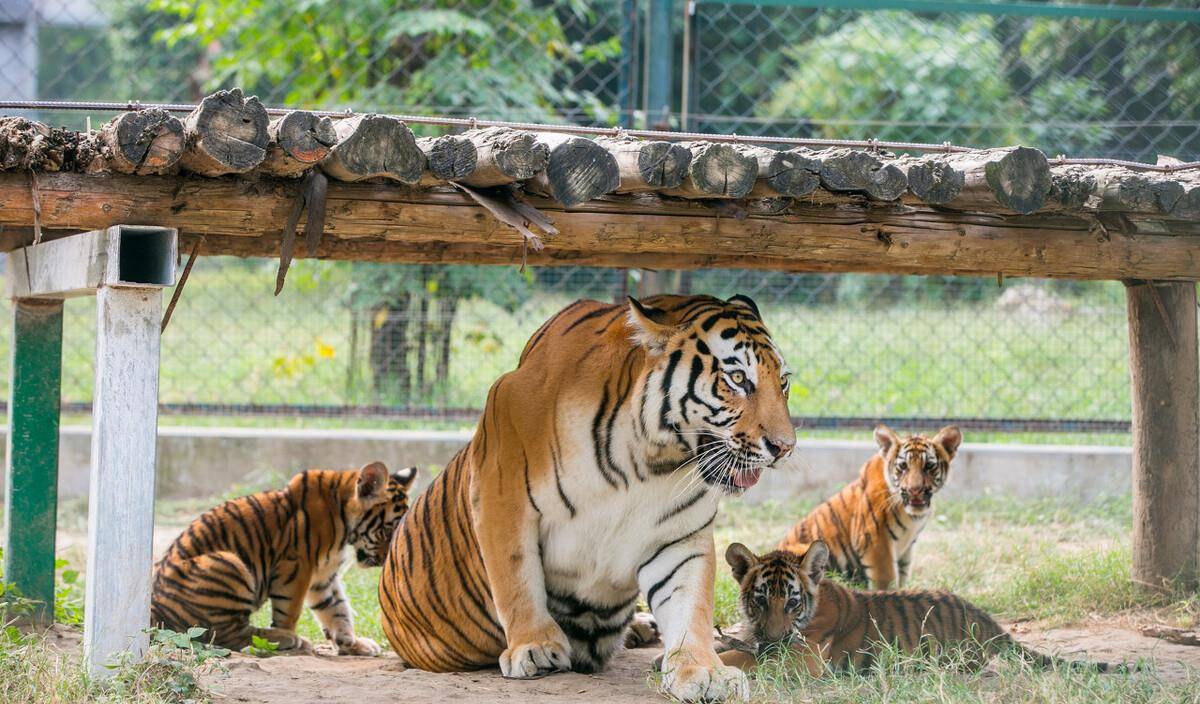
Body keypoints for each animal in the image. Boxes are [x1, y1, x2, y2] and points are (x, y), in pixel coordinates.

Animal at [381, 295, 796, 700]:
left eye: (784, 382)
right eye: (738, 379)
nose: (785, 447)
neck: (645, 459)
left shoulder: (679, 538)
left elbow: (689, 605)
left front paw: (704, 671)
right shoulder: (500, 493)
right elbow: (517, 577)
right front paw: (535, 647)